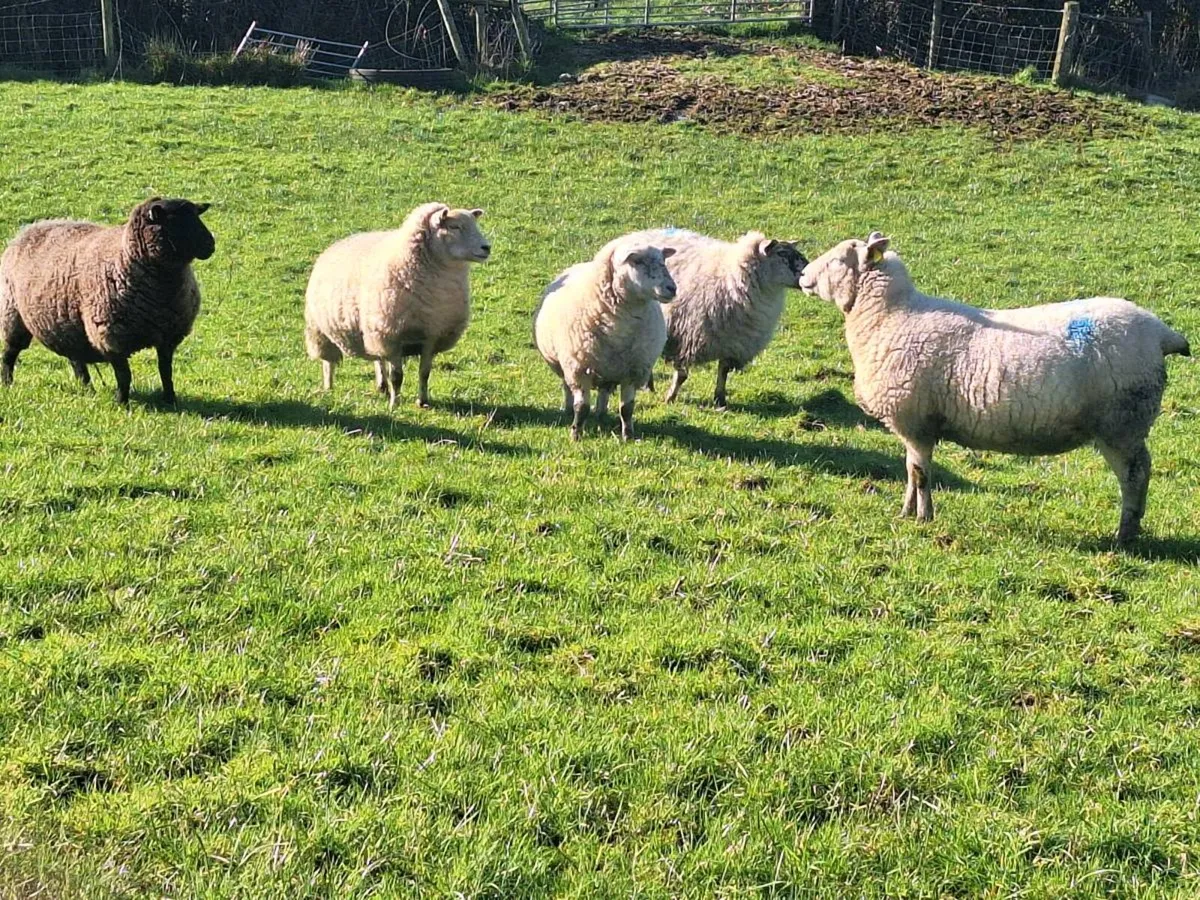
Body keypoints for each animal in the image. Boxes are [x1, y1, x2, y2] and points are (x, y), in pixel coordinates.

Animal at [0, 197, 214, 405]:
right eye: (175, 221)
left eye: (196, 215)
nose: (211, 244)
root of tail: (28, 229)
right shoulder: (112, 336)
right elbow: (124, 375)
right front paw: (122, 403)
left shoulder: (169, 336)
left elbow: (166, 371)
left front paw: (170, 400)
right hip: (13, 315)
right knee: (10, 353)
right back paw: (7, 382)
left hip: (68, 325)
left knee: (76, 359)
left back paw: (87, 389)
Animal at [304, 202, 491, 409]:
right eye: (454, 227)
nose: (487, 247)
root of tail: (339, 242)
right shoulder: (392, 336)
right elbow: (397, 376)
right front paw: (395, 404)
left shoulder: (431, 336)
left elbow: (424, 373)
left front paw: (422, 402)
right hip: (321, 330)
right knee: (328, 362)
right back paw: (329, 388)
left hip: (371, 329)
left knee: (377, 358)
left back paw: (382, 386)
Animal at [534, 236, 677, 441]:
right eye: (637, 261)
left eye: (663, 260)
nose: (672, 288)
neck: (620, 329)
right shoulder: (580, 369)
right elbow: (582, 407)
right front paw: (576, 435)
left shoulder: (633, 371)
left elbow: (627, 409)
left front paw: (628, 436)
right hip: (565, 364)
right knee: (567, 387)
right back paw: (568, 410)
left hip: (609, 369)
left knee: (604, 391)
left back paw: (601, 414)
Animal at [626, 228, 807, 408]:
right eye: (782, 253)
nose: (808, 269)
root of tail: (637, 233)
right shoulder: (686, 335)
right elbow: (682, 374)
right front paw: (670, 398)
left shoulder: (732, 343)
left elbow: (723, 372)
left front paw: (720, 399)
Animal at [799, 232, 1190, 546]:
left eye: (838, 259)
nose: (802, 275)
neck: (890, 316)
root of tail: (1160, 332)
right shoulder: (914, 425)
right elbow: (911, 470)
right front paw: (906, 512)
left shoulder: (915, 420)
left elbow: (921, 474)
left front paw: (924, 518)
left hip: (1121, 424)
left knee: (1136, 476)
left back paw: (1125, 535)